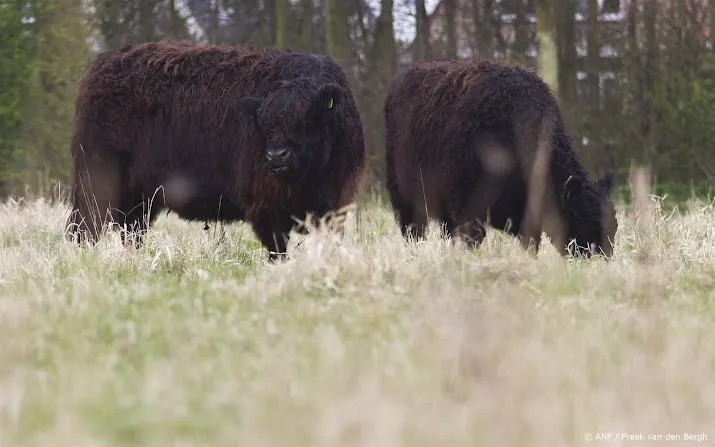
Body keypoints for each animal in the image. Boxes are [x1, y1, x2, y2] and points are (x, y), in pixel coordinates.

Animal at [65, 41, 370, 262]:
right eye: (265, 123)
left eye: (307, 119)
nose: (276, 156)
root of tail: (105, 62)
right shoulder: (266, 205)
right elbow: (277, 250)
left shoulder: (336, 204)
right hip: (96, 183)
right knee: (85, 228)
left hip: (138, 197)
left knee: (131, 232)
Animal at [384, 57, 620, 258]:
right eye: (582, 218)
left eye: (614, 225)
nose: (602, 260)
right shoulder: (469, 209)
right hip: (406, 197)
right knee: (414, 231)